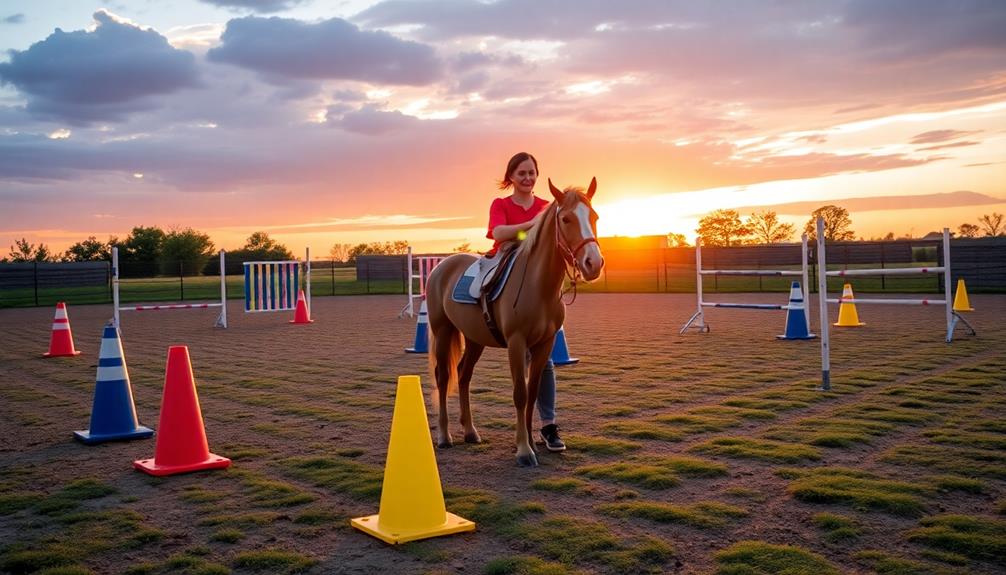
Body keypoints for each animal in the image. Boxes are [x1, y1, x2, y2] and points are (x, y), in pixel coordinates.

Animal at [426, 178, 603, 466]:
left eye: (594, 216)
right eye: (566, 219)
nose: (593, 263)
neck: (537, 285)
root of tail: (442, 266)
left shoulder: (544, 344)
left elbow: (533, 393)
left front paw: (532, 441)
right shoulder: (516, 342)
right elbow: (520, 393)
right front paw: (523, 450)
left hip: (474, 339)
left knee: (463, 376)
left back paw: (470, 432)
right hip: (442, 330)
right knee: (443, 377)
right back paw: (444, 436)